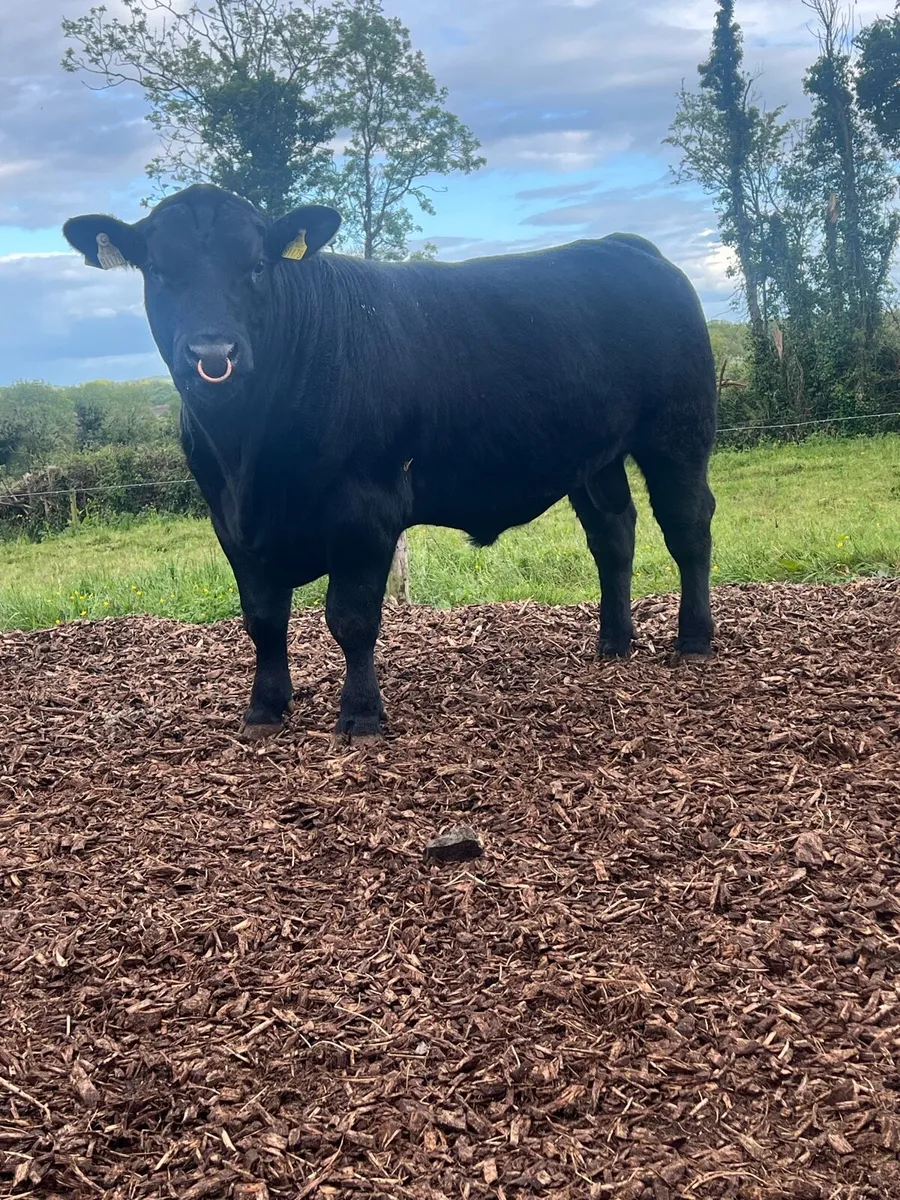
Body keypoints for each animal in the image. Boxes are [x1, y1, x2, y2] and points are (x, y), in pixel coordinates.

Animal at [63, 185, 717, 742]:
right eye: (159, 271)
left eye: (257, 266)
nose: (212, 352)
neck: (247, 459)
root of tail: (624, 245)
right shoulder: (228, 520)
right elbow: (263, 617)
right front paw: (265, 708)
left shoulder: (364, 506)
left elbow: (351, 616)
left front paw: (359, 714)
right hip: (592, 456)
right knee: (613, 533)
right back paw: (613, 641)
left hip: (678, 431)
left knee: (687, 526)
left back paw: (694, 639)